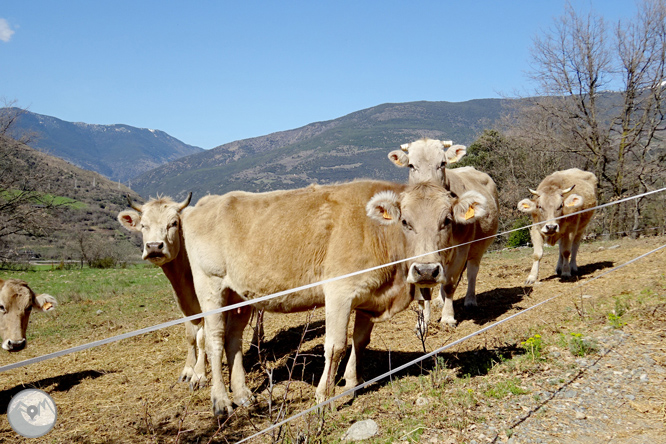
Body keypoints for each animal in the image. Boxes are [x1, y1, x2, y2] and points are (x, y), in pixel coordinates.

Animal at [115, 194, 206, 388]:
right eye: (143, 225)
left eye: (174, 223)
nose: (154, 246)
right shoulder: (184, 307)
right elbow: (190, 337)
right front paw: (188, 370)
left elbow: (202, 339)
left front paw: (200, 374)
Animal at [176, 180, 488, 416]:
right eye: (405, 221)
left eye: (446, 221)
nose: (425, 270)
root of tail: (206, 203)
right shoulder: (339, 291)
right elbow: (335, 346)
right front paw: (324, 396)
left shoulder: (368, 296)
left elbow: (360, 341)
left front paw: (352, 381)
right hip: (210, 285)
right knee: (214, 339)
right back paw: (221, 401)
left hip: (239, 295)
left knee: (233, 339)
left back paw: (242, 394)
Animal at [384, 137, 498, 328]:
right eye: (411, 165)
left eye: (442, 163)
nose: (427, 184)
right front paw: (423, 321)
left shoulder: (461, 249)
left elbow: (450, 283)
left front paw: (448, 318)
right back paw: (440, 300)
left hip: (478, 247)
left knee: (471, 272)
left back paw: (470, 300)